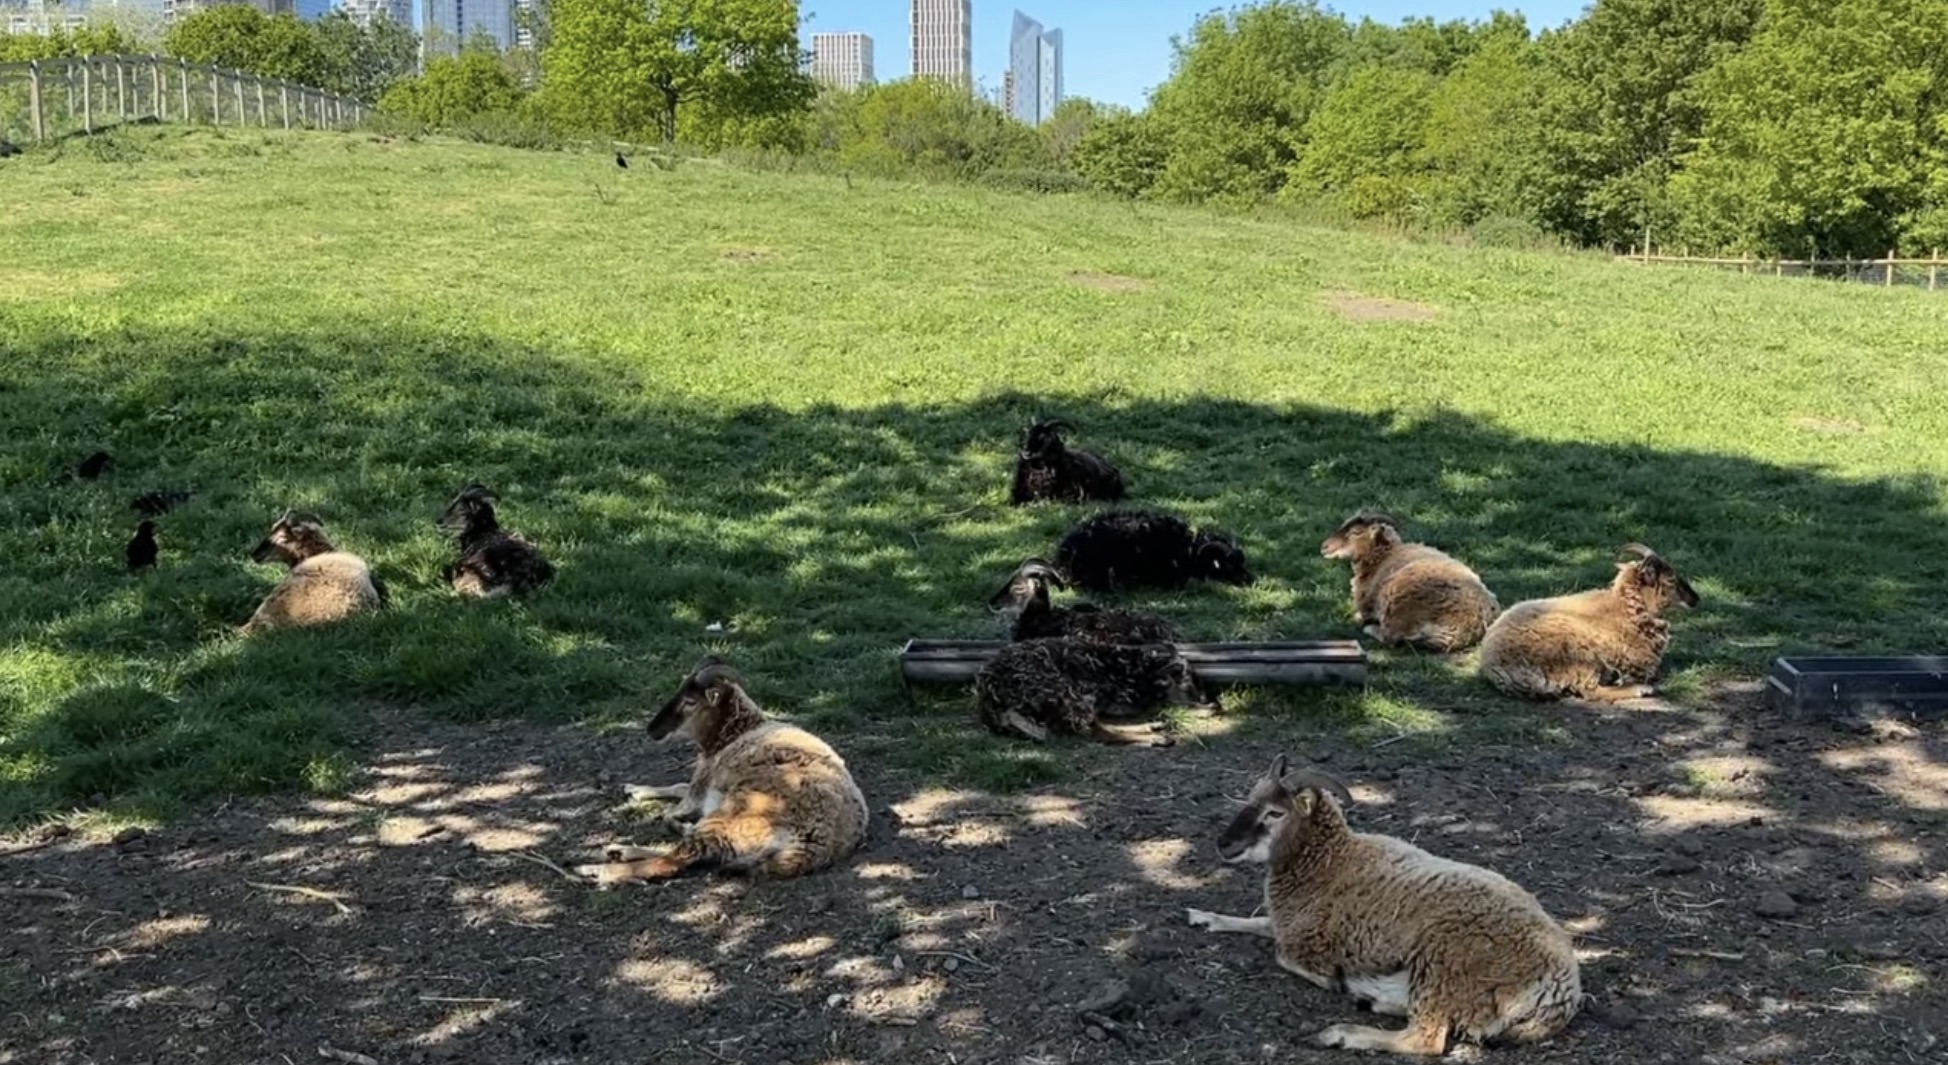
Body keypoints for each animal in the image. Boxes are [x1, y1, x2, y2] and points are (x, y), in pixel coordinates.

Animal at [574, 657, 868, 886]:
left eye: (690, 702)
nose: (652, 729)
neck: (739, 729)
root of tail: (809, 845)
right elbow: (677, 787)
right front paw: (635, 789)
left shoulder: (701, 783)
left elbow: (675, 804)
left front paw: (653, 803)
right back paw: (617, 851)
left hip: (728, 820)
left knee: (674, 860)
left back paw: (597, 870)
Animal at [973, 637, 1214, 747]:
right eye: (1190, 685)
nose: (1207, 698)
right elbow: (1167, 705)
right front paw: (1206, 709)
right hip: (1064, 692)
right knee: (1095, 731)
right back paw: (1157, 737)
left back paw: (1154, 728)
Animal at [1186, 754, 1583, 1055]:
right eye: (1250, 798)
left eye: (1275, 814)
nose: (1224, 844)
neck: (1330, 861)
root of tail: (1559, 989)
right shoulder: (1287, 922)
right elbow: (1255, 922)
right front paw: (1203, 917)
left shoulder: (1308, 941)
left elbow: (1282, 955)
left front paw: (1335, 981)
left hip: (1444, 965)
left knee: (1426, 1039)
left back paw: (1342, 1032)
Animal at [1320, 510, 1500, 653]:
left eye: (1356, 532)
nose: (1324, 546)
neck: (1383, 556)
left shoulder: (1367, 606)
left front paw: (1358, 618)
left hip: (1399, 606)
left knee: (1391, 638)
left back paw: (1370, 628)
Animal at [1476, 543, 1699, 703]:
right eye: (1670, 579)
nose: (1695, 599)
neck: (1626, 608)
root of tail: (1494, 664)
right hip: (1580, 658)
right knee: (1589, 691)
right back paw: (1640, 689)